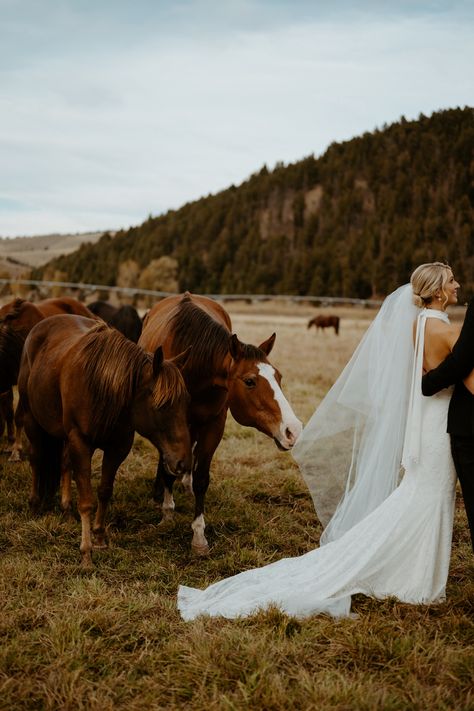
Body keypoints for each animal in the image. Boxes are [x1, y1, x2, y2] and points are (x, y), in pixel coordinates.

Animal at [18, 316, 193, 568]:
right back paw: (34, 505)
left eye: (186, 402)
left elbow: (104, 491)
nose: (183, 462)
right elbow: (87, 501)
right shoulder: (80, 443)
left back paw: (65, 510)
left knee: (64, 465)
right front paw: (86, 554)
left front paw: (99, 538)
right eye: (162, 405)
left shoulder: (117, 447)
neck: (102, 388)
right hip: (32, 420)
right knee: (36, 459)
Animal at [139, 290, 302, 556]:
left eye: (279, 376)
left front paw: (198, 536)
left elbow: (202, 477)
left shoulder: (214, 425)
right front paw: (167, 513)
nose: (293, 430)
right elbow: (168, 467)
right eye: (249, 381)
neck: (195, 367)